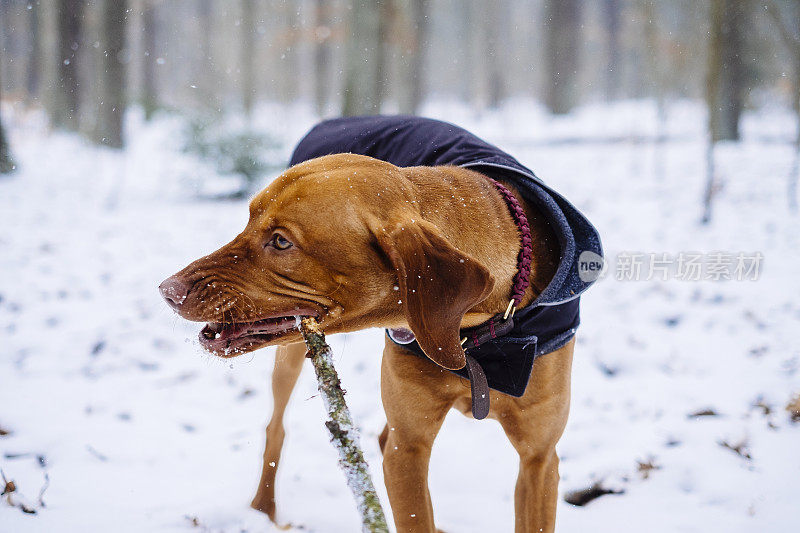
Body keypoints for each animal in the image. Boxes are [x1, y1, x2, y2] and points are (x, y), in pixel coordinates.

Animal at [161, 152, 576, 528]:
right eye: (248, 220)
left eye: (280, 242)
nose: (167, 290)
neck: (472, 334)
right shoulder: (408, 449)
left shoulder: (539, 459)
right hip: (290, 353)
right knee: (275, 426)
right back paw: (263, 510)